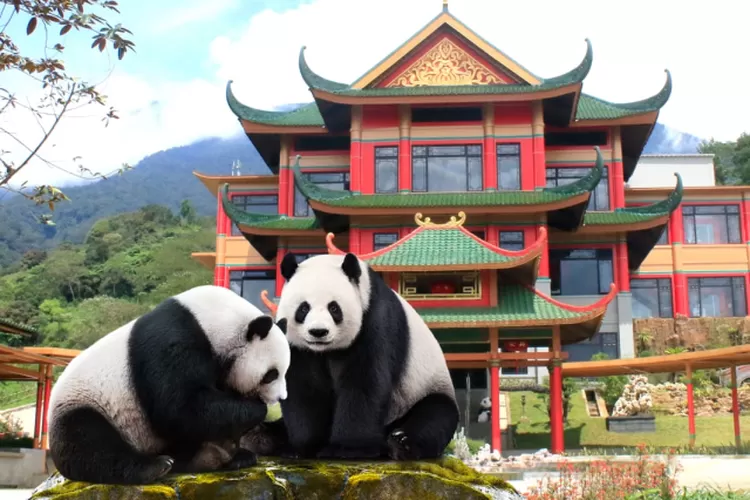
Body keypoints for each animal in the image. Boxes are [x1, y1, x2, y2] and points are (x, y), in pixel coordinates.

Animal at [47, 285, 290, 485]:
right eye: (271, 375)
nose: (280, 398)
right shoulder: (173, 340)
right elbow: (178, 408)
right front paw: (256, 409)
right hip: (85, 402)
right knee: (90, 443)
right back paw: (155, 466)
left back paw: (225, 455)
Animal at [245, 252, 459, 461]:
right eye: (304, 308)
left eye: (334, 308)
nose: (318, 332)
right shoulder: (297, 346)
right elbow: (303, 386)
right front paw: (303, 446)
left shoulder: (375, 320)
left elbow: (364, 382)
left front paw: (347, 449)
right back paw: (259, 436)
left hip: (419, 390)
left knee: (434, 414)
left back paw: (400, 442)